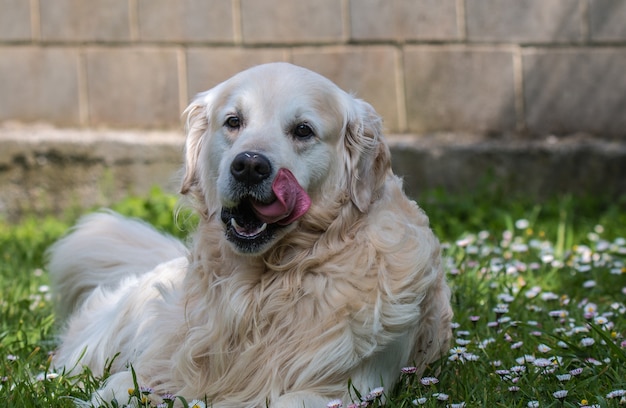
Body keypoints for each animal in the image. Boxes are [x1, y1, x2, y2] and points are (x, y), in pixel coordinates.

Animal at [47, 62, 448, 406]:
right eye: (233, 121)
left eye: (303, 130)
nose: (250, 166)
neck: (262, 286)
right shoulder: (160, 367)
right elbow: (119, 387)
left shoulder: (348, 387)